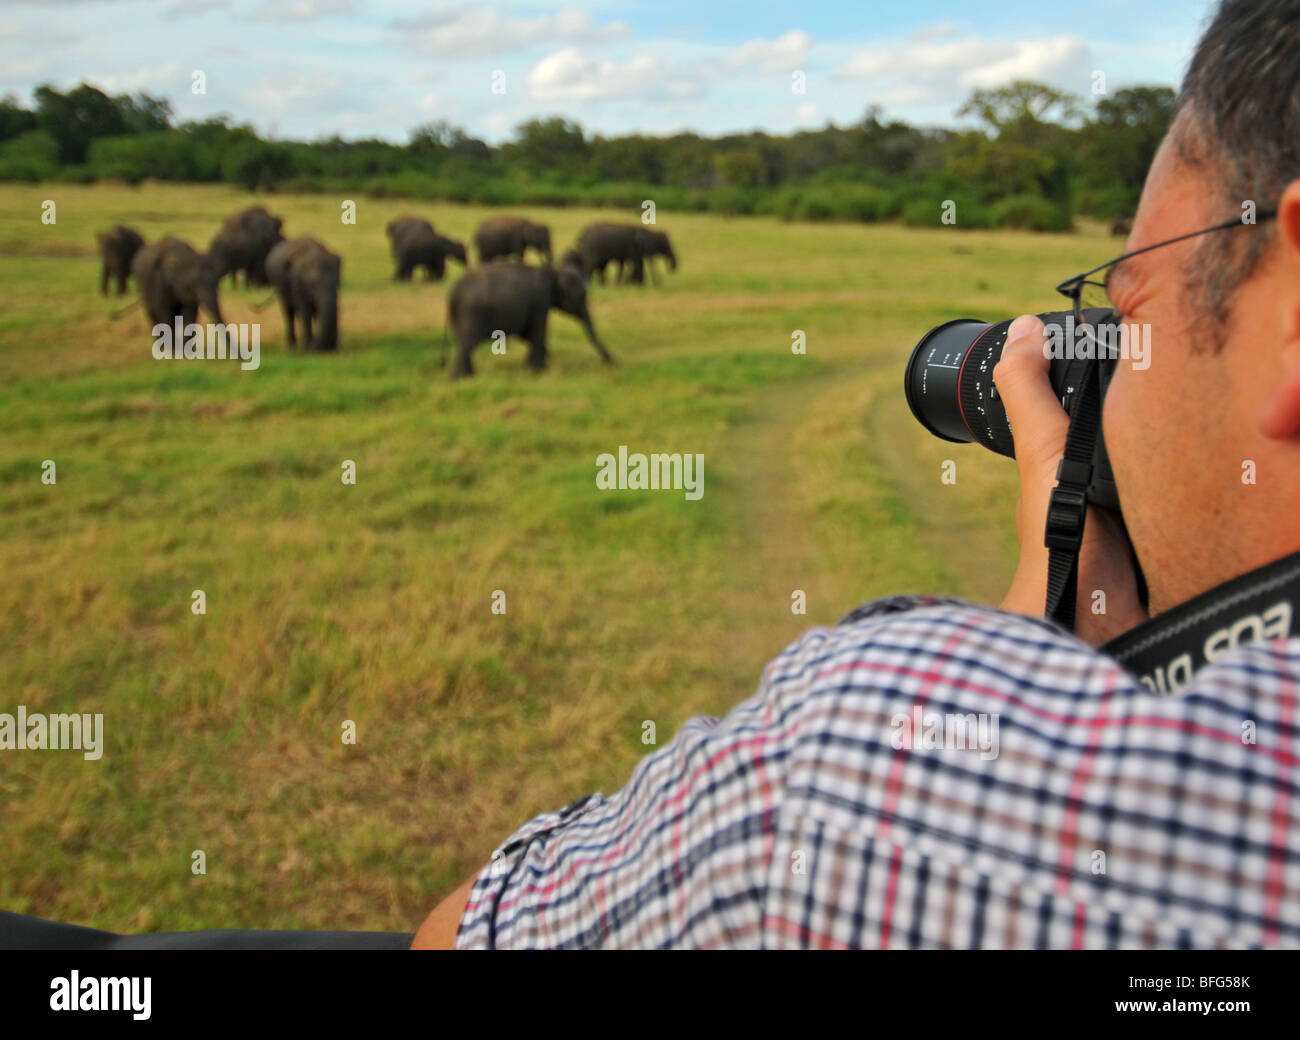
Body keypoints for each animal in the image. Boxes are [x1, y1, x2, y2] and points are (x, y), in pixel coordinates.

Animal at [441, 260, 613, 377]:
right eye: (582, 296)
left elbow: (527, 334)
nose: (612, 361)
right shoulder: (540, 302)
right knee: (466, 344)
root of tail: (453, 293)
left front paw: (537, 366)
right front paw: (536, 371)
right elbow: (537, 332)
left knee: (462, 342)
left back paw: (469, 377)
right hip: (473, 313)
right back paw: (458, 380)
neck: (553, 272)